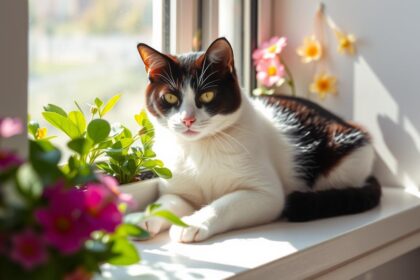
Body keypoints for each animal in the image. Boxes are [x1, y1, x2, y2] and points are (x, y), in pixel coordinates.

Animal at [136, 37, 382, 243]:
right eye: (170, 97)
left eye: (207, 95)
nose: (187, 119)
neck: (200, 148)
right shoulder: (177, 188)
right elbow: (167, 202)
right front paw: (140, 220)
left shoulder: (266, 194)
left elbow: (224, 205)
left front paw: (192, 223)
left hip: (345, 160)